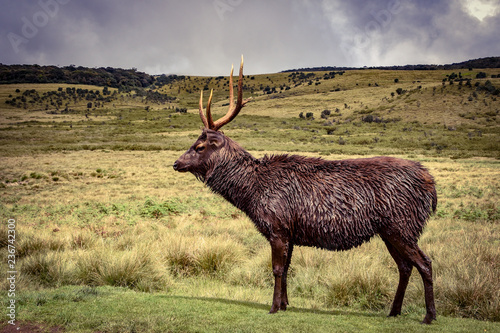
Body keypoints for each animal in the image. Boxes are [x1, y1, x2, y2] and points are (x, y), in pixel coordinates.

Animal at [173, 55, 438, 322]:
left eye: (199, 146)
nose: (176, 163)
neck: (250, 194)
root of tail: (431, 184)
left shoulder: (278, 227)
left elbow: (277, 269)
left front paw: (273, 307)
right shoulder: (290, 233)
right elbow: (287, 269)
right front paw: (285, 304)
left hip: (402, 225)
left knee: (425, 263)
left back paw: (429, 315)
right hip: (389, 231)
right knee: (405, 267)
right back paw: (394, 311)